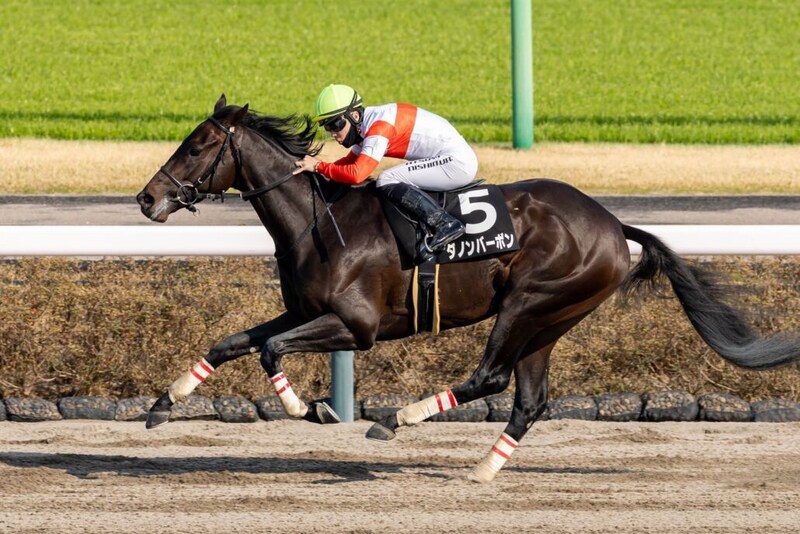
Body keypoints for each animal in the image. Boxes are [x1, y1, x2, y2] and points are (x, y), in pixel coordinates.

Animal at [137, 95, 800, 482]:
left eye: (197, 145)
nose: (147, 199)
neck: (318, 220)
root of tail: (613, 224)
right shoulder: (303, 310)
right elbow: (231, 343)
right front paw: (163, 405)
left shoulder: (356, 327)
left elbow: (272, 351)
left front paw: (313, 408)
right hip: (551, 320)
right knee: (529, 399)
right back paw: (483, 469)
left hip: (530, 302)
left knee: (492, 377)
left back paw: (397, 419)